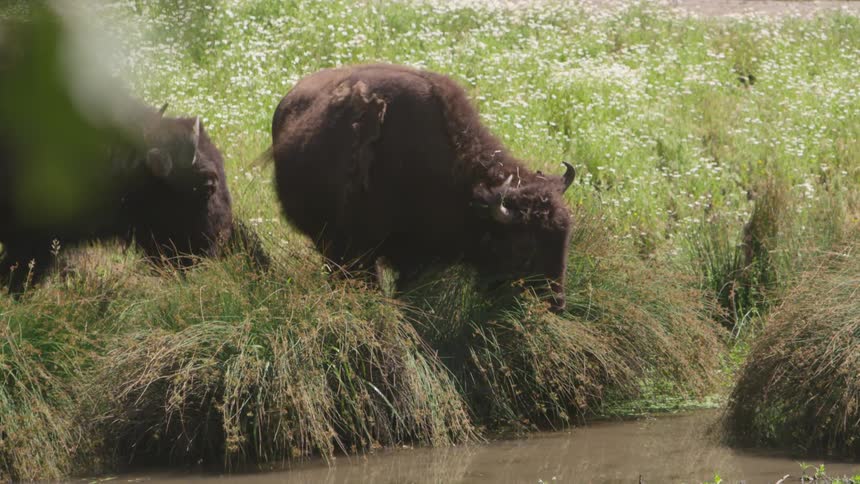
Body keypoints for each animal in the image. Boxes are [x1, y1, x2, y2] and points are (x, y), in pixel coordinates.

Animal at [272, 63, 574, 311]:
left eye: (565, 238)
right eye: (523, 246)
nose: (556, 303)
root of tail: (286, 102)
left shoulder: (416, 255)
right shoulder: (364, 245)